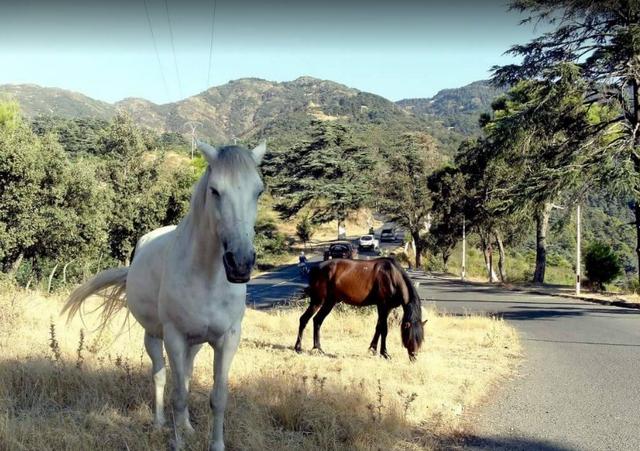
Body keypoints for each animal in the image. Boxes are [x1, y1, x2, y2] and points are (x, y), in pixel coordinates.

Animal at [63, 141, 268, 451]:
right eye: (215, 191)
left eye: (259, 191)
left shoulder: (228, 338)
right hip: (154, 336)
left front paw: (213, 443)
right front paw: (177, 443)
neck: (207, 276)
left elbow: (217, 397)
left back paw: (186, 427)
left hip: (195, 343)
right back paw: (161, 423)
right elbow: (177, 395)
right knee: (160, 376)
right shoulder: (174, 336)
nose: (241, 263)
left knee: (186, 376)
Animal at [294, 258, 424, 360]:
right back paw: (298, 348)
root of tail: (315, 268)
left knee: (317, 320)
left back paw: (318, 348)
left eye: (421, 339)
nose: (414, 357)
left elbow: (378, 328)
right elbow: (384, 329)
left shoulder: (387, 308)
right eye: (410, 337)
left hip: (329, 302)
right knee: (304, 319)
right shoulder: (382, 306)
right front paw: (385, 353)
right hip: (318, 301)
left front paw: (373, 349)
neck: (392, 276)